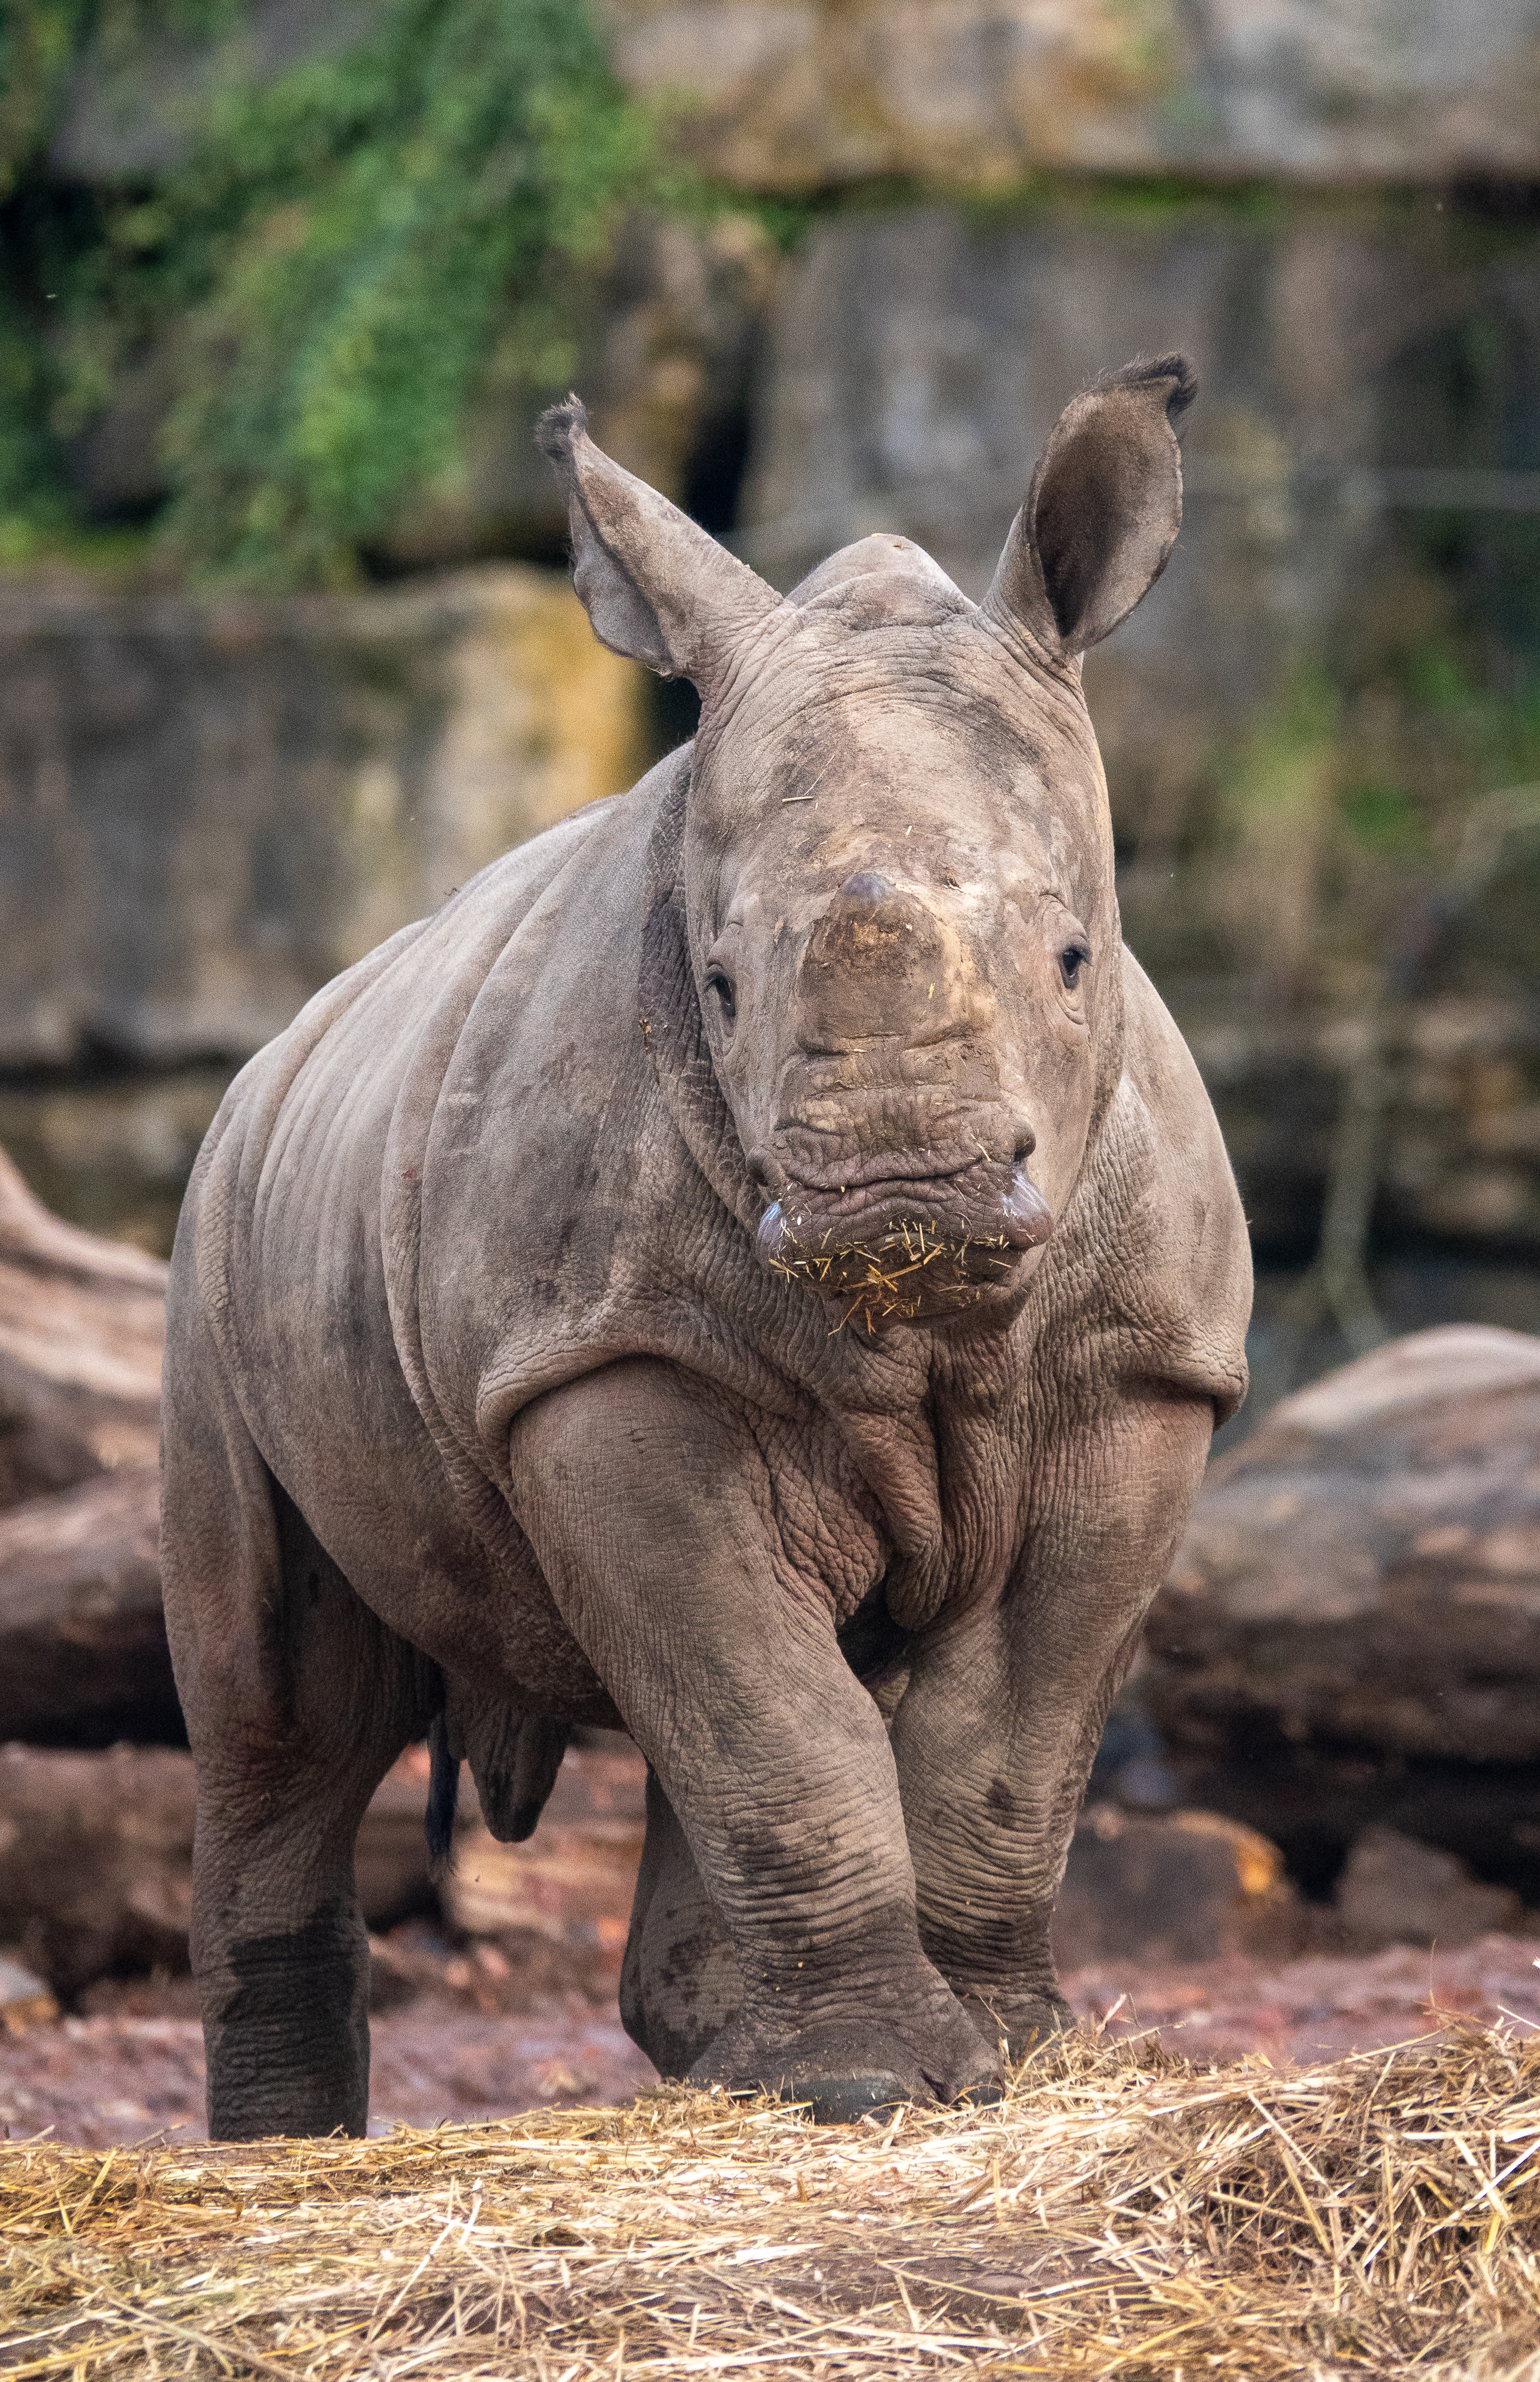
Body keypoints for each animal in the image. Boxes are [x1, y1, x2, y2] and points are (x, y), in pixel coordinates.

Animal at [162, 353, 1251, 2139]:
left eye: (1076, 957)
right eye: (724, 981)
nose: (897, 1189)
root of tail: (274, 1055)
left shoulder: (1139, 1377)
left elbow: (1010, 1735)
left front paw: (998, 2060)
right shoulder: (604, 1360)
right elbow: (766, 1710)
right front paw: (871, 2084)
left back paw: (729, 2062)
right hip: (212, 1252)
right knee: (282, 1719)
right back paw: (287, 2154)